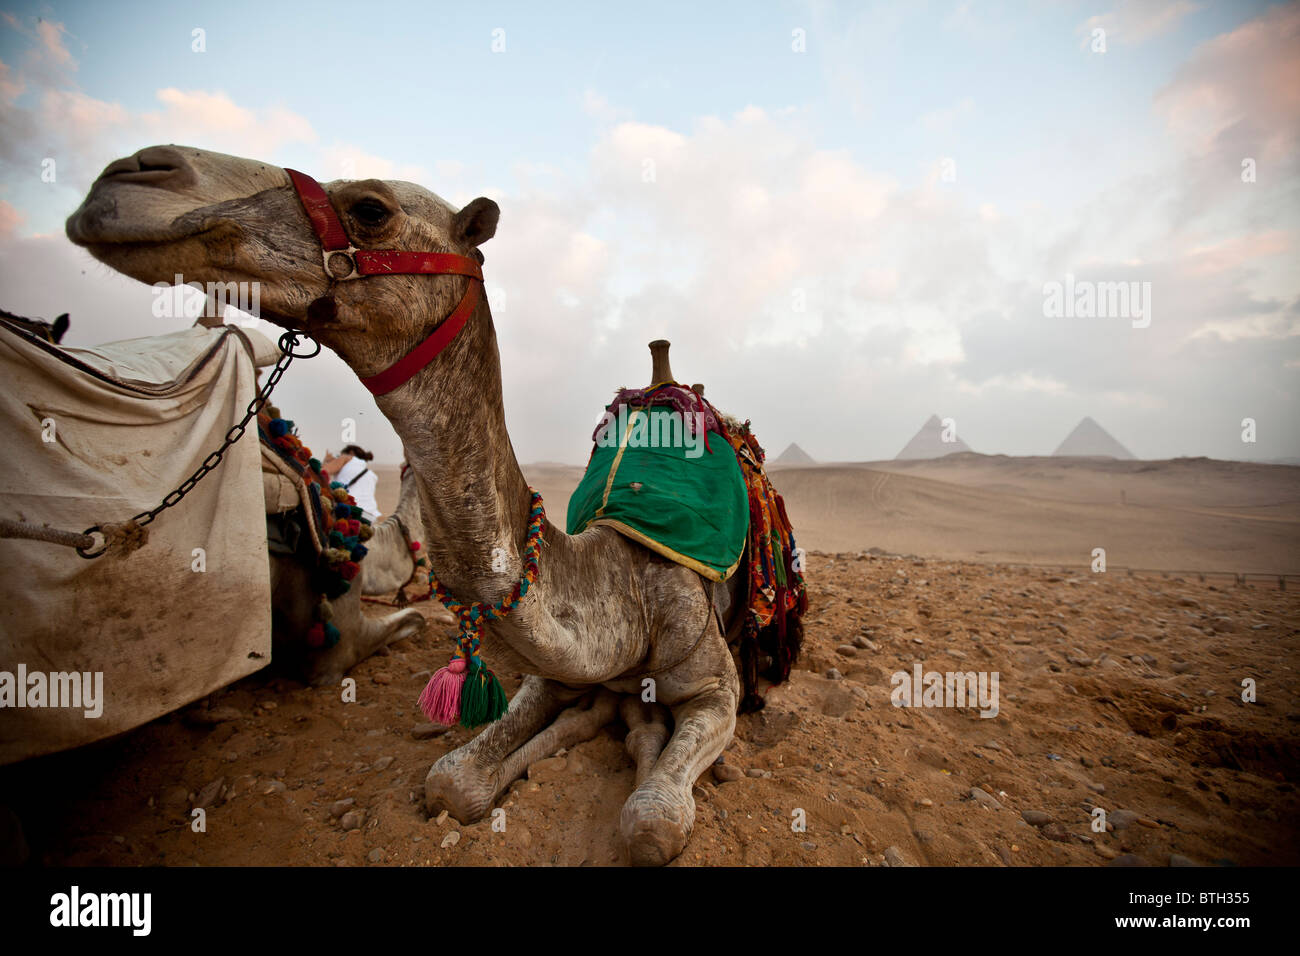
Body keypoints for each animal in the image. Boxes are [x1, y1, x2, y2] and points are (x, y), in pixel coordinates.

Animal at [67, 145, 758, 865]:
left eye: (371, 209)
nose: (135, 171)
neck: (619, 590)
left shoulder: (716, 689)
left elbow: (652, 823)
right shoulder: (552, 672)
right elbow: (451, 779)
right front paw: (578, 729)